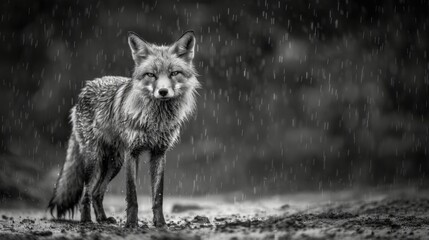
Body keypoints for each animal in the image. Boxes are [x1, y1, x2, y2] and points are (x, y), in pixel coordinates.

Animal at [47, 30, 200, 227]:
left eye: (174, 73)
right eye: (151, 75)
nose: (163, 91)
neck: (156, 121)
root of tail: (86, 87)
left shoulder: (159, 153)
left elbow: (158, 196)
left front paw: (160, 223)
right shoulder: (132, 152)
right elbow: (132, 195)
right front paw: (131, 224)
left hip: (114, 163)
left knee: (97, 193)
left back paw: (103, 219)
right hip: (94, 159)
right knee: (86, 193)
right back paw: (86, 221)